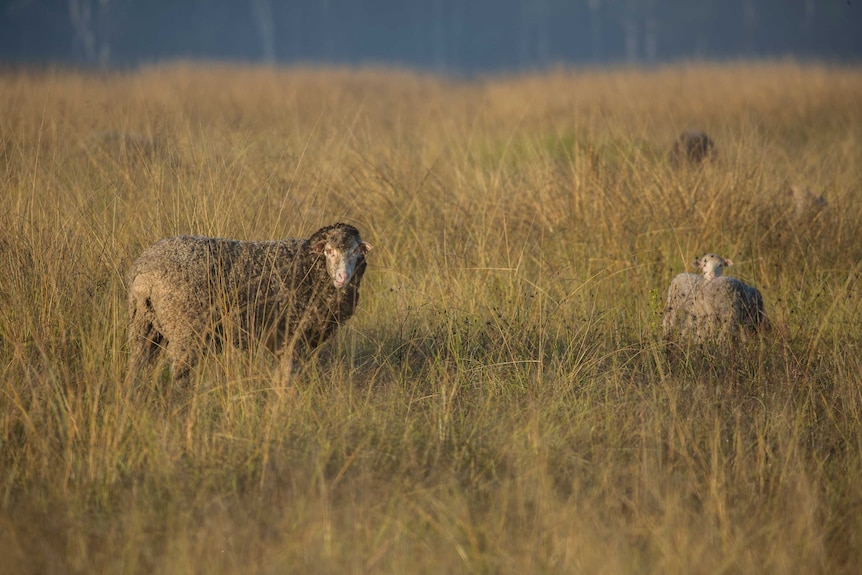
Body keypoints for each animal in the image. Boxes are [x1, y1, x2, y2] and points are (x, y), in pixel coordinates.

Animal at [129, 223, 374, 384]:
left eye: (356, 251)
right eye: (329, 251)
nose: (342, 277)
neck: (310, 268)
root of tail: (146, 274)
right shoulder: (292, 334)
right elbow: (289, 373)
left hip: (144, 324)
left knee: (139, 361)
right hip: (185, 326)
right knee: (179, 371)